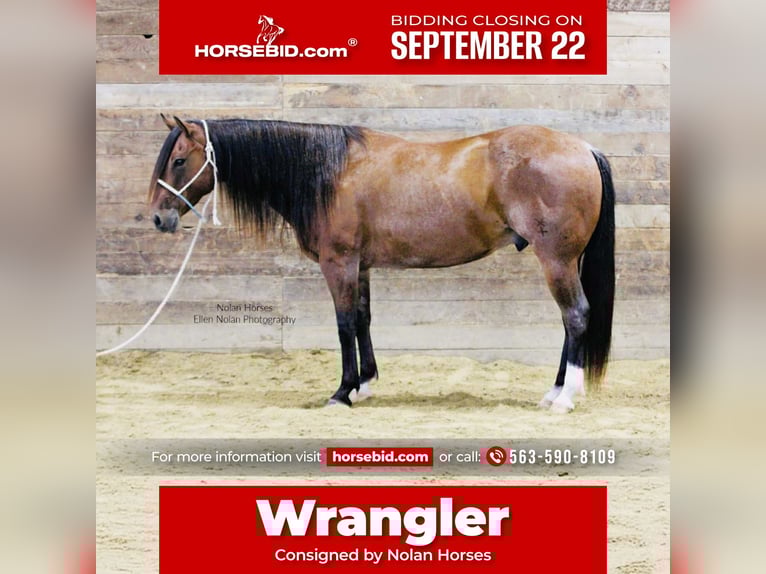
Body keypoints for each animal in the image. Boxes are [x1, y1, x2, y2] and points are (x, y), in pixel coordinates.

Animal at [149, 115, 615, 413]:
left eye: (179, 160)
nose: (157, 218)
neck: (328, 172)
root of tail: (585, 148)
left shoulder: (338, 263)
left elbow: (343, 325)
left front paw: (341, 392)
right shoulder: (361, 265)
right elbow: (363, 319)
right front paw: (365, 385)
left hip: (556, 259)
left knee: (576, 316)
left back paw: (564, 398)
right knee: (570, 322)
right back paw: (553, 392)